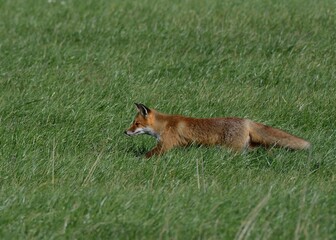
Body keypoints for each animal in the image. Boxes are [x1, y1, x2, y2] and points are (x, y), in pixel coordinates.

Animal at [124, 102, 312, 158]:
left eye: (136, 123)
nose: (125, 132)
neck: (164, 124)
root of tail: (246, 121)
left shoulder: (165, 145)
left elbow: (148, 155)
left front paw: (136, 160)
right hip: (249, 146)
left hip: (233, 150)